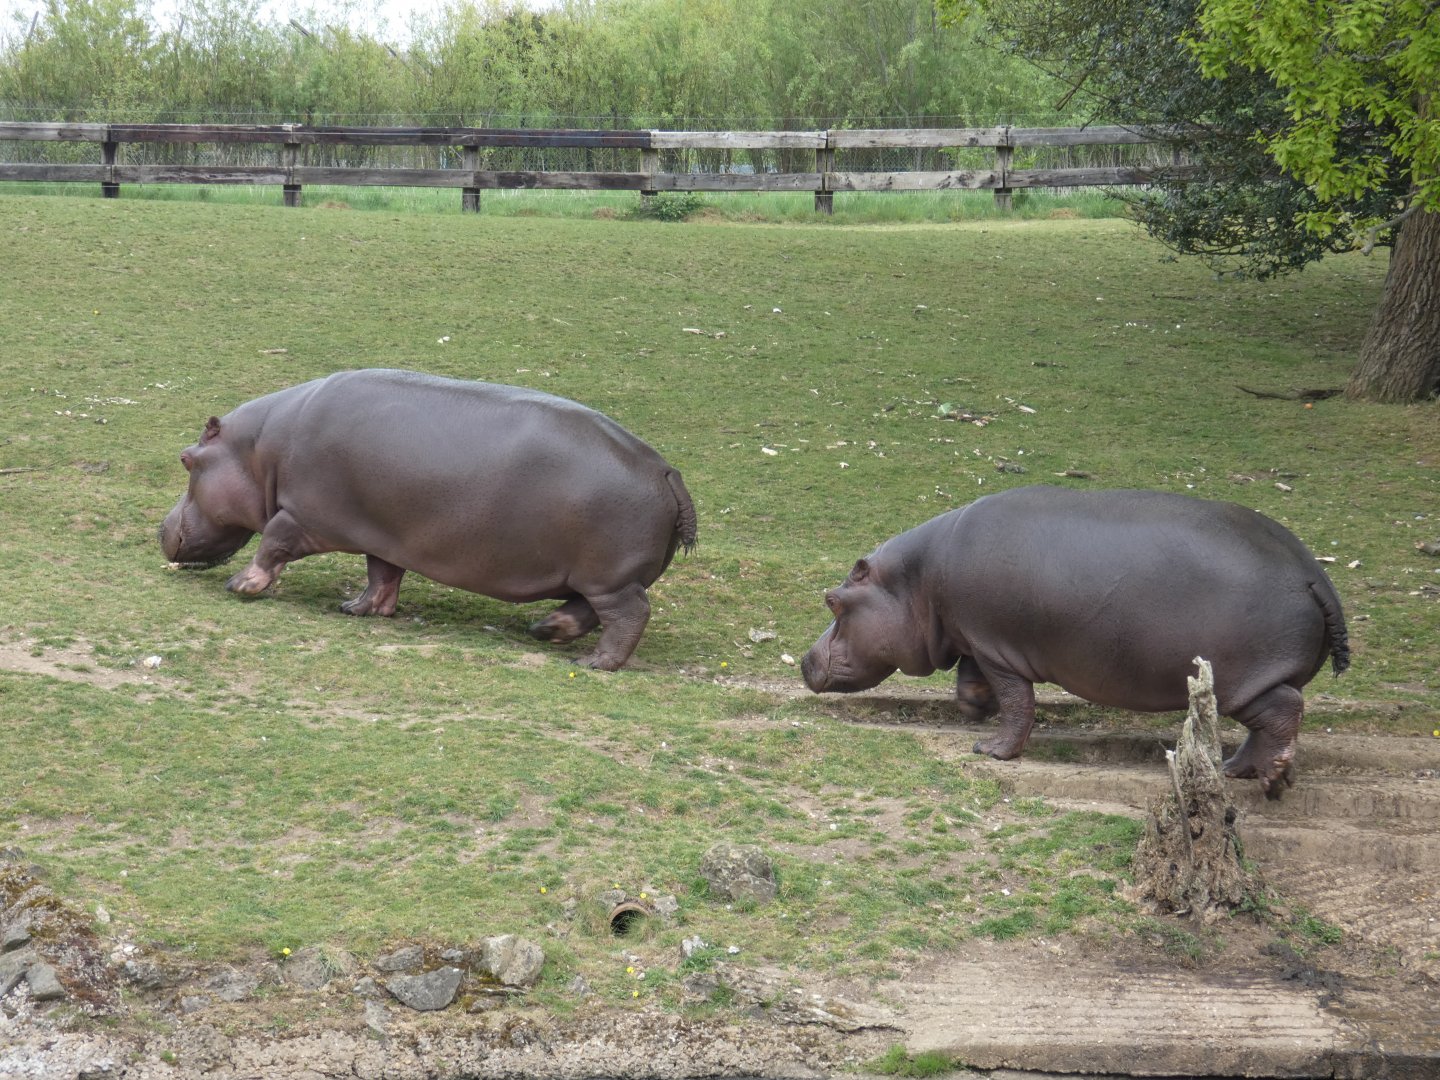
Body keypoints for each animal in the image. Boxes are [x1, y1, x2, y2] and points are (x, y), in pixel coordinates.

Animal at [160, 369, 697, 670]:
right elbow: (381, 574)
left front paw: (240, 586)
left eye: (186, 459)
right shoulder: (381, 532)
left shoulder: (301, 514)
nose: (160, 530)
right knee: (585, 609)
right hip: (595, 577)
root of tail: (666, 471)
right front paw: (357, 609)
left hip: (611, 578)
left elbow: (272, 543)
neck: (257, 451)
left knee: (628, 615)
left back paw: (595, 663)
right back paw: (546, 630)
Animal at [801, 486, 1349, 795]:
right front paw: (974, 712)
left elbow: (1017, 702)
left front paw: (991, 750)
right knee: (1272, 718)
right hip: (1256, 680)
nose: (805, 660)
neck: (916, 581)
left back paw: (1271, 777)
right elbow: (970, 681)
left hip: (1244, 680)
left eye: (833, 600)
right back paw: (1238, 770)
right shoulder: (976, 637)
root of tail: (1313, 573)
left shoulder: (996, 648)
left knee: (1285, 711)